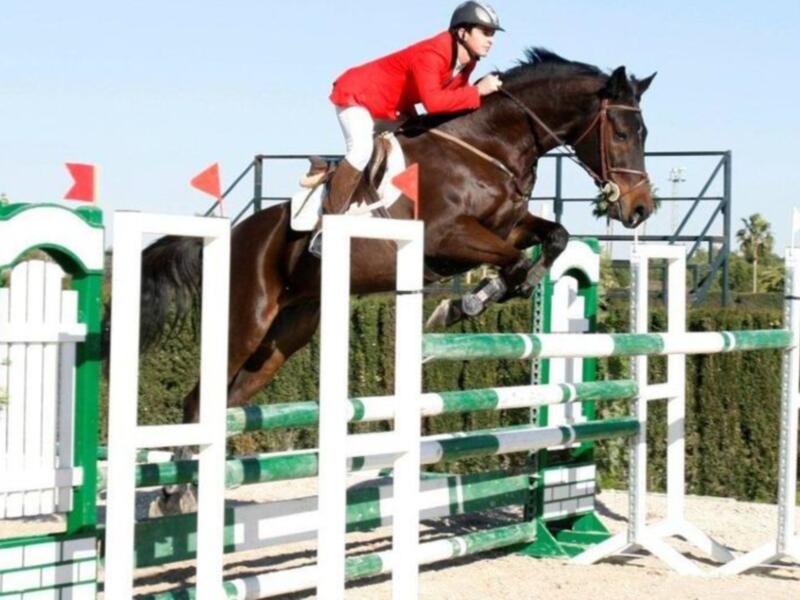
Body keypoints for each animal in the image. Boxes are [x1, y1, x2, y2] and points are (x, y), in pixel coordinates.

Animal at [137, 49, 656, 510]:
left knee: (226, 400)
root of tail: (234, 233)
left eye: (644, 132)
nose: (640, 209)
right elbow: (510, 261)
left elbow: (556, 237)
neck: (488, 148)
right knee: (197, 401)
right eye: (621, 131)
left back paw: (194, 487)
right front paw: (465, 304)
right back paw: (173, 494)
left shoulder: (509, 224)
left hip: (285, 336)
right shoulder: (448, 236)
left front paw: (505, 290)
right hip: (246, 321)